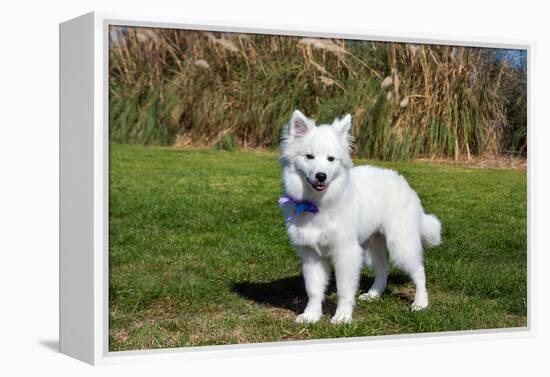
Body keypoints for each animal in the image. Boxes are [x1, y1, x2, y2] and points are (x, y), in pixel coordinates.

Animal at [280, 108, 444, 324]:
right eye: (309, 157)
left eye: (331, 159)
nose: (321, 176)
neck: (318, 203)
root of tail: (403, 182)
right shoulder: (312, 255)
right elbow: (314, 290)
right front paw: (311, 316)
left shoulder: (346, 253)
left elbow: (344, 290)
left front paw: (342, 317)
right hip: (372, 246)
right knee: (383, 269)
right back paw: (374, 295)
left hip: (400, 245)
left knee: (419, 272)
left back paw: (420, 303)